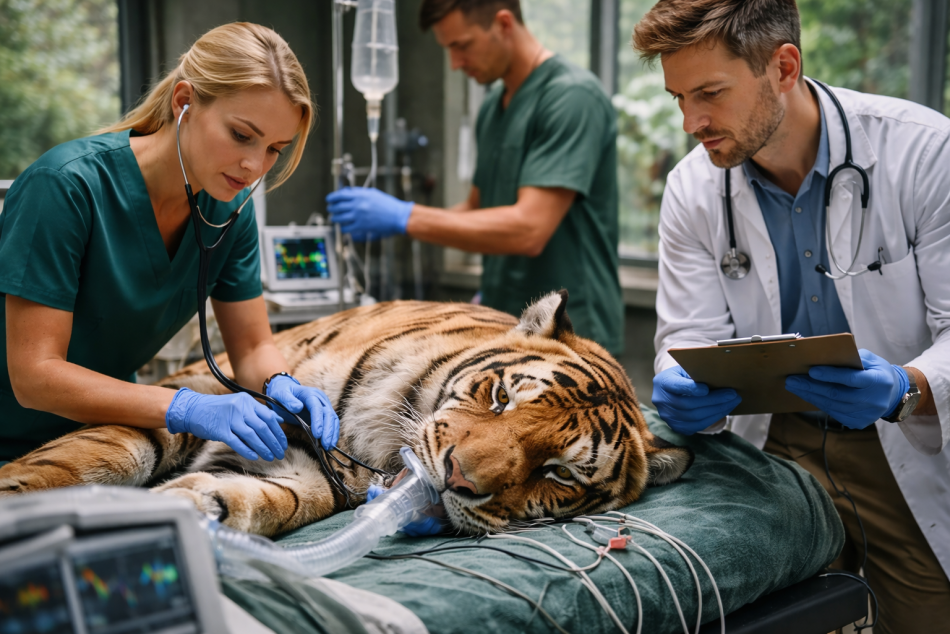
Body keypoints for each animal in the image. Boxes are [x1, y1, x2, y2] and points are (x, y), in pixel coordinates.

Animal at [0, 291, 693, 537]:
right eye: (501, 398)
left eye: (559, 474)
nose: (454, 478)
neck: (377, 454)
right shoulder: (207, 398)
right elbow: (97, 455)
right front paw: (22, 498)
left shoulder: (308, 475)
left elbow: (273, 501)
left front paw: (200, 508)